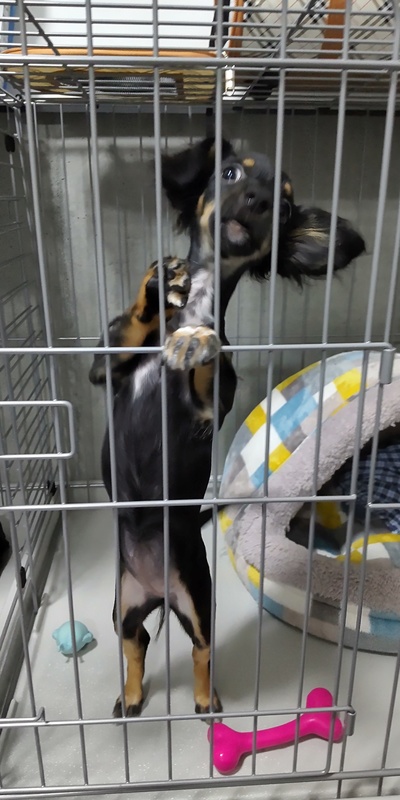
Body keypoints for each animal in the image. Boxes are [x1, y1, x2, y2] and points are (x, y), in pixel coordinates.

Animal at [89, 137, 365, 718]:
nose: (259, 200)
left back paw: (204, 699)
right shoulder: (105, 368)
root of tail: (158, 593)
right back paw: (131, 697)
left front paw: (199, 339)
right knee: (136, 644)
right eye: (232, 173)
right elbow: (129, 326)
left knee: (200, 650)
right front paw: (157, 286)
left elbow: (211, 361)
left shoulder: (208, 409)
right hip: (122, 605)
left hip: (196, 598)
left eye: (285, 207)